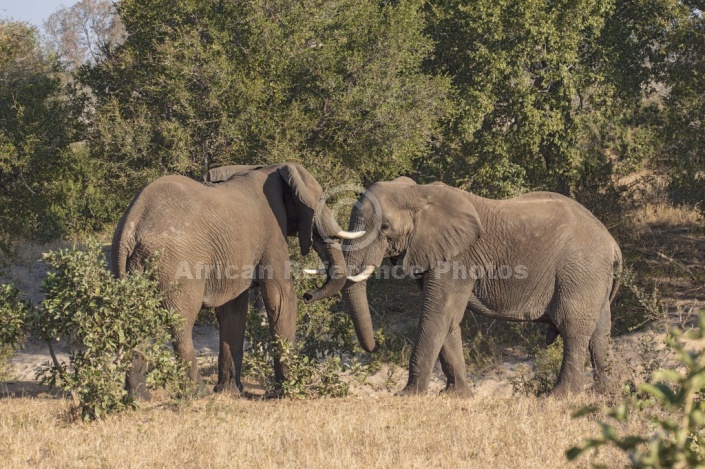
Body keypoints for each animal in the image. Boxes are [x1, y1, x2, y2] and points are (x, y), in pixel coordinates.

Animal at [113, 163, 364, 396]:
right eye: (320, 200)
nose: (309, 295)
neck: (269, 169)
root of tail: (132, 224)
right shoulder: (272, 233)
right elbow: (281, 296)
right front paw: (289, 390)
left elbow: (232, 310)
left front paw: (230, 392)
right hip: (175, 261)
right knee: (181, 323)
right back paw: (198, 393)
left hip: (134, 263)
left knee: (139, 320)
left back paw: (139, 398)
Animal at [310, 177, 620, 396]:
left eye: (385, 228)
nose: (373, 347)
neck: (417, 193)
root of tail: (612, 242)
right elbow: (448, 319)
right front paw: (455, 396)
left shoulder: (457, 259)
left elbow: (438, 314)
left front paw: (408, 396)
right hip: (593, 278)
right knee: (600, 332)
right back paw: (604, 397)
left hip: (580, 272)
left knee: (574, 328)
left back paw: (558, 397)